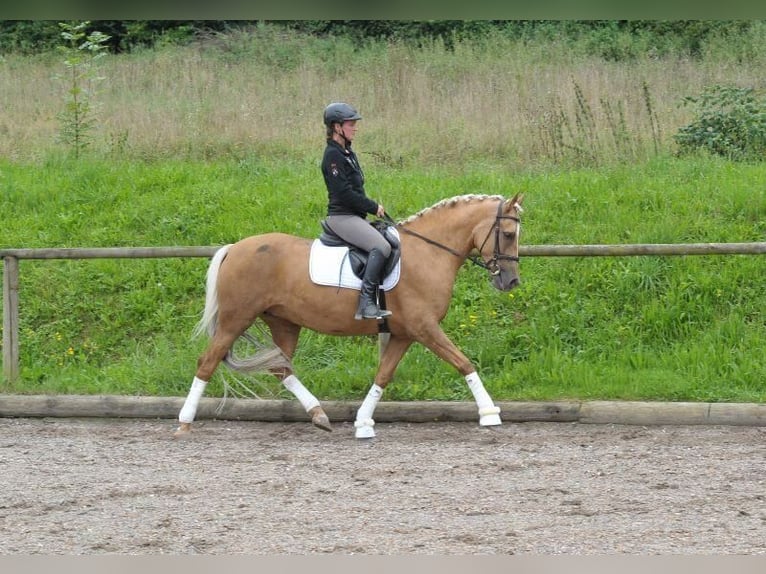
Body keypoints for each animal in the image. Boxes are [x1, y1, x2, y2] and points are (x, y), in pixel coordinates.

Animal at [176, 194, 520, 440]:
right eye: (507, 233)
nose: (511, 282)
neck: (428, 253)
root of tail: (234, 249)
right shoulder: (424, 327)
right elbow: (463, 362)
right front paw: (489, 413)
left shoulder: (404, 333)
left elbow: (383, 374)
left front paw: (363, 422)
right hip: (236, 319)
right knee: (207, 362)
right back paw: (184, 422)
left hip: (284, 322)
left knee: (280, 368)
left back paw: (319, 415)